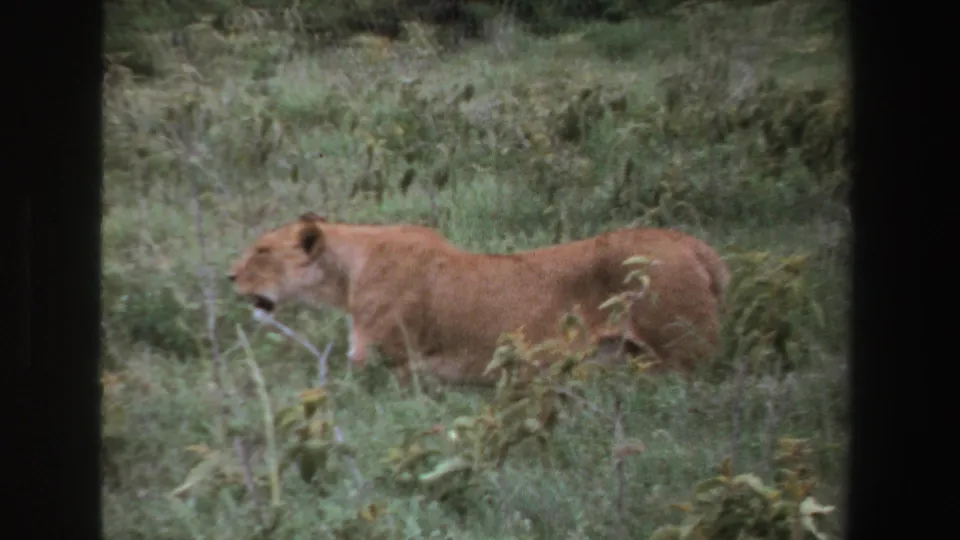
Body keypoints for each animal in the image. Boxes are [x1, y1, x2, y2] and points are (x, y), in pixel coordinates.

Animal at [227, 212, 730, 386]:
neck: (348, 272)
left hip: (683, 356)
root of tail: (695, 245)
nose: (229, 276)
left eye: (262, 251)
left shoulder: (383, 363)